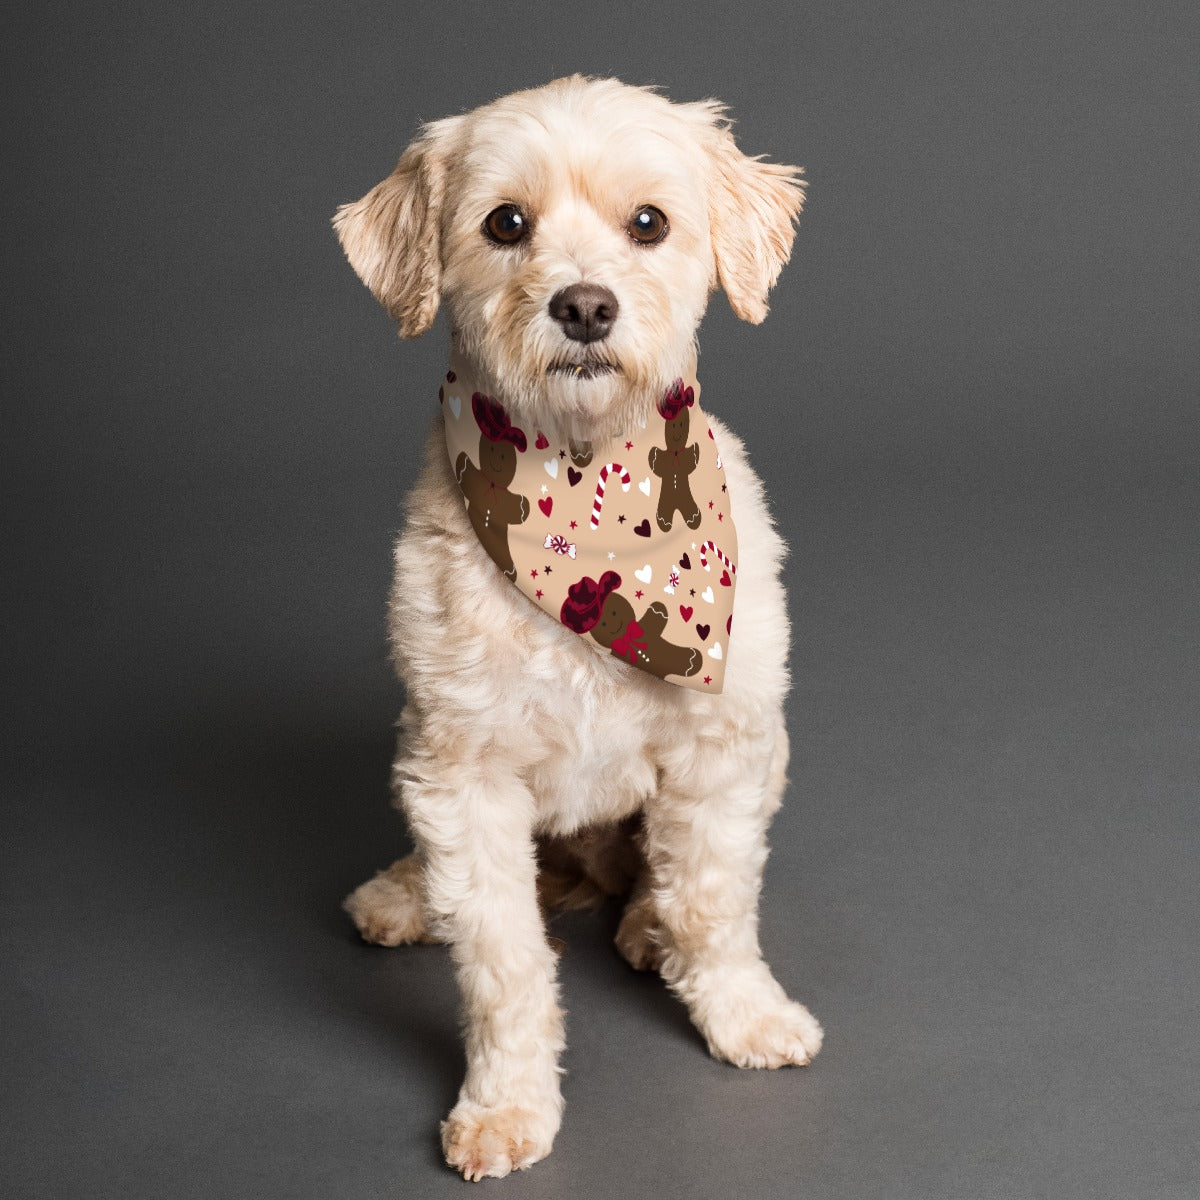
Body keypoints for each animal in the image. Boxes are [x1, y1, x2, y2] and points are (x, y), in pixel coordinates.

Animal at [338, 77, 825, 1180]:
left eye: (648, 223)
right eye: (504, 224)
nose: (586, 306)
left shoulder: (724, 748)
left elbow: (712, 901)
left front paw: (741, 1012)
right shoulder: (463, 773)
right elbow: (500, 960)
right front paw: (506, 1102)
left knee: (658, 880)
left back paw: (644, 925)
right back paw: (404, 895)